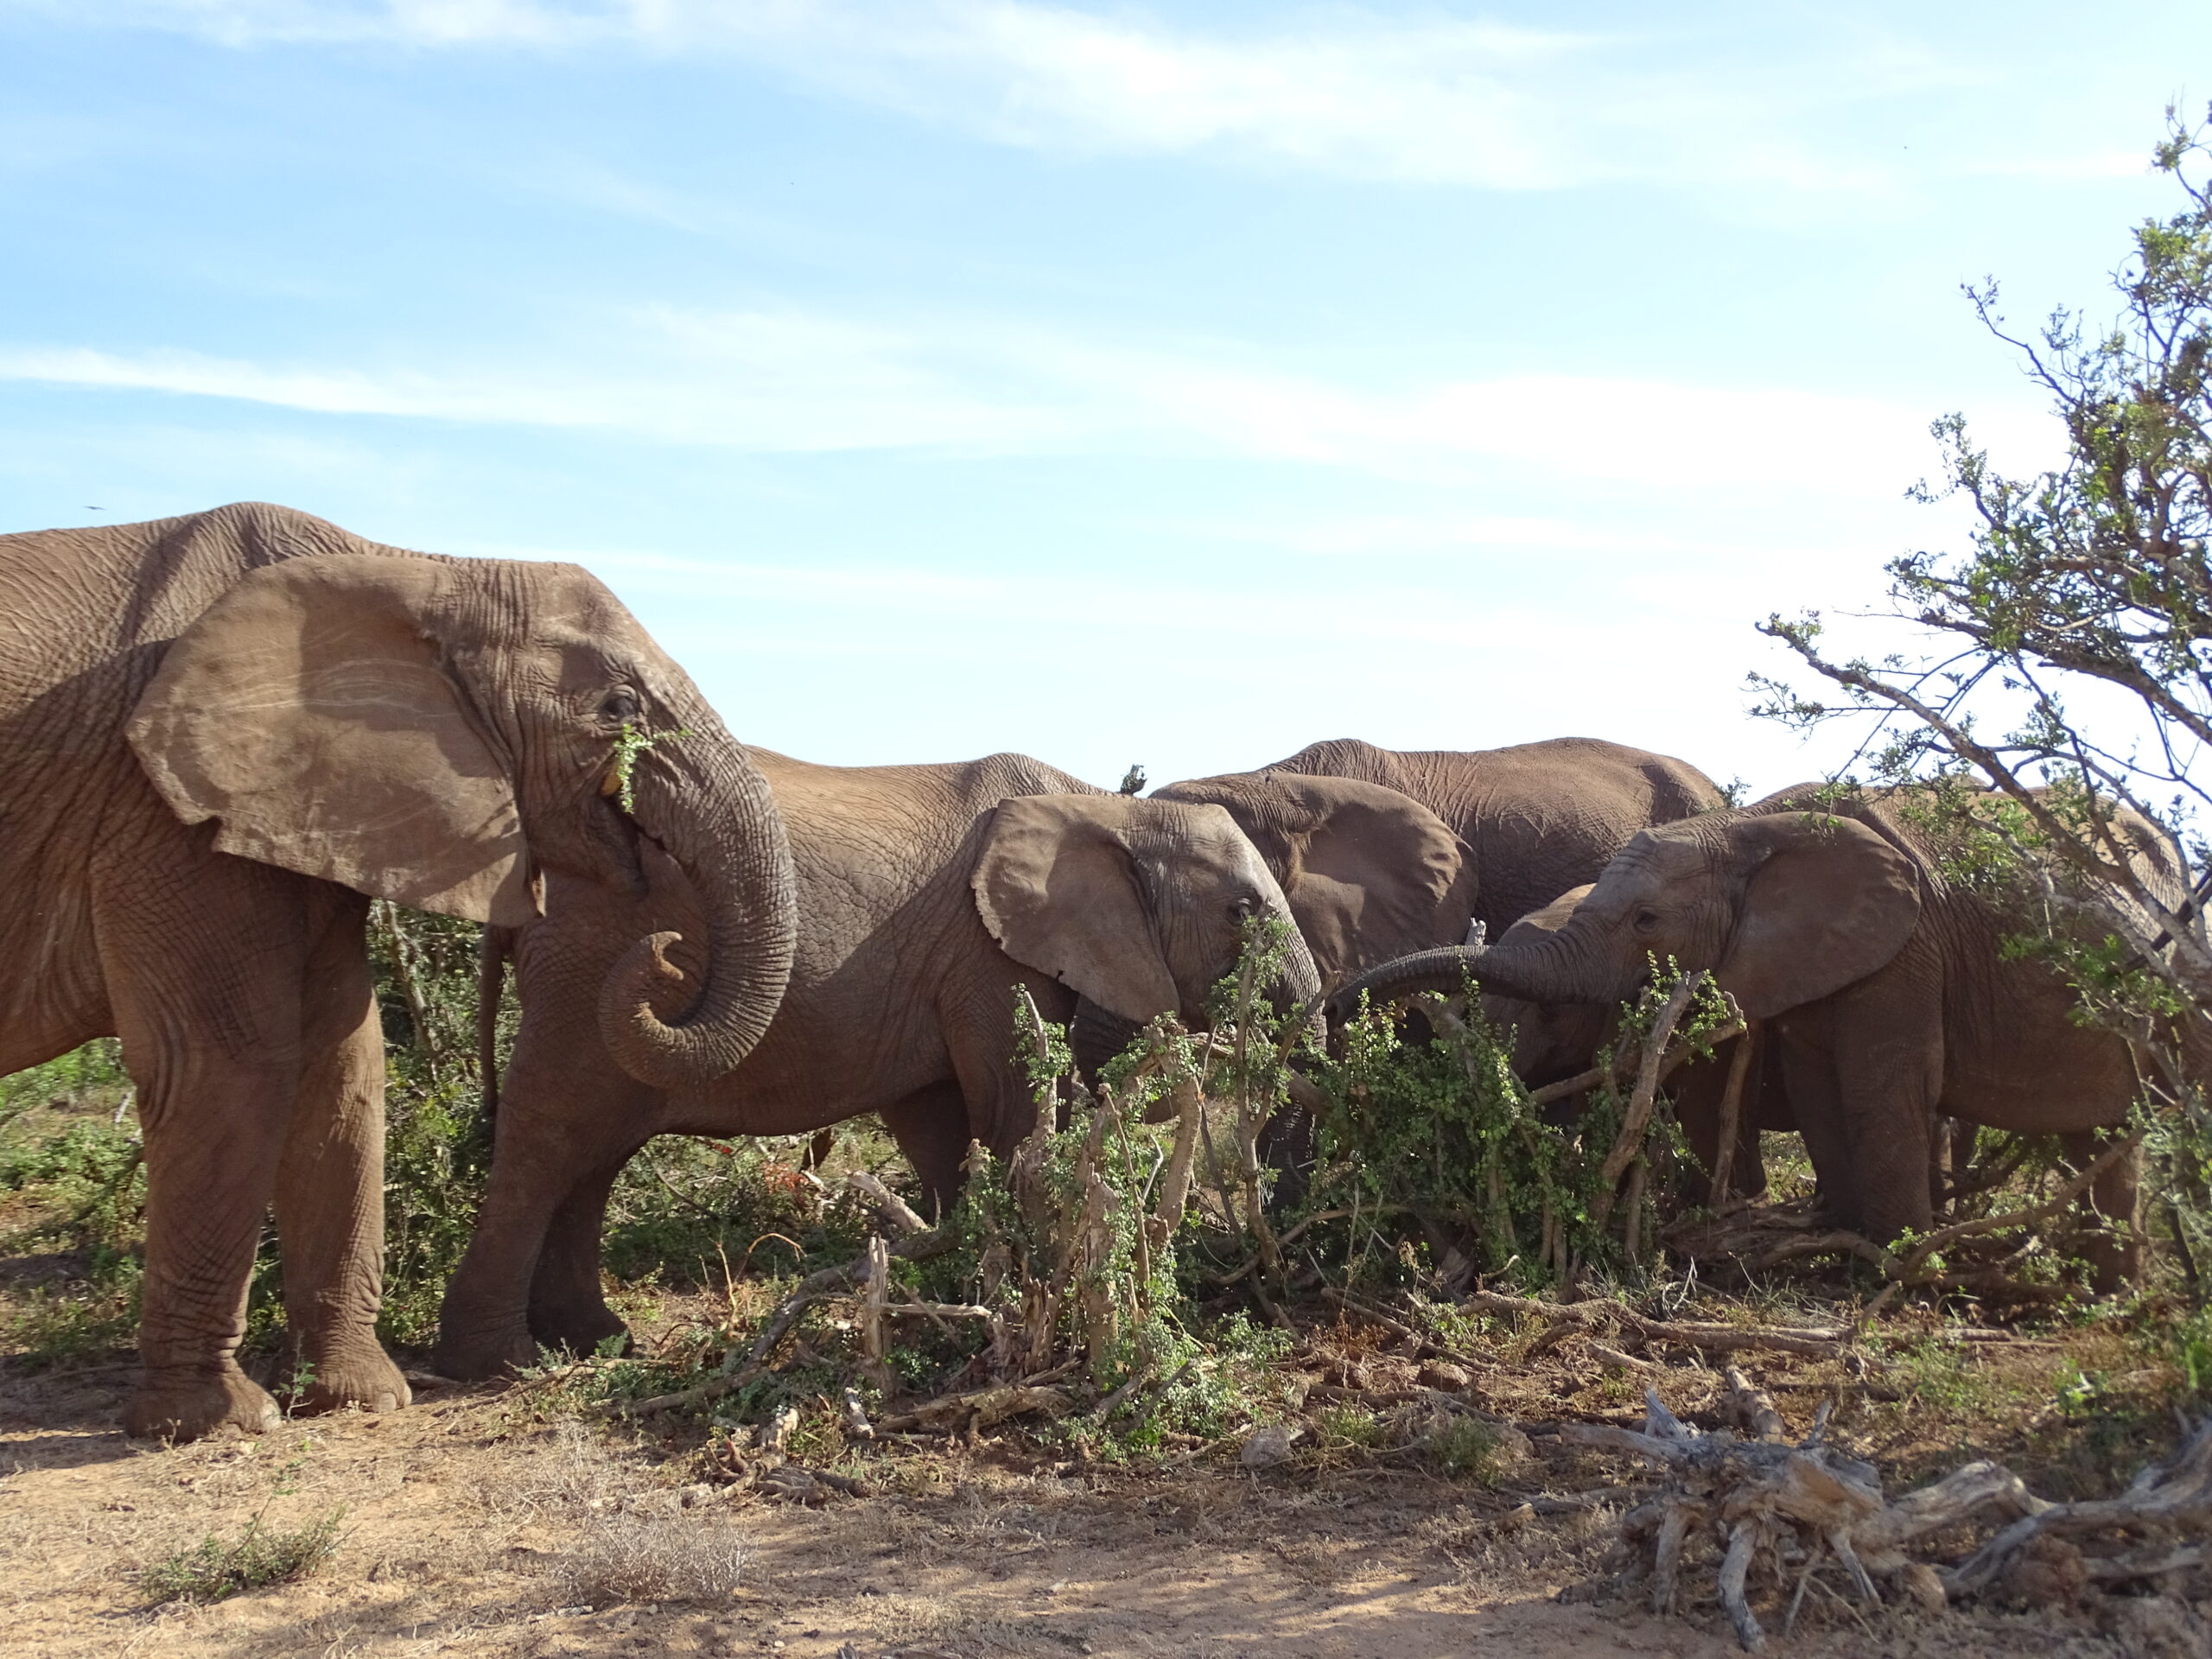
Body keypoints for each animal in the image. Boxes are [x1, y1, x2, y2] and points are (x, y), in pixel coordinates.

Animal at [0, 503, 797, 1440]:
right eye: (620, 706)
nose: (667, 947)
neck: (420, 568)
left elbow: (344, 1063)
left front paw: (361, 1398)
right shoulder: (160, 806)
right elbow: (226, 1065)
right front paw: (224, 1422)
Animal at [433, 750, 1319, 1379]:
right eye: (1243, 911)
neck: (1112, 809)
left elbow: (941, 1129)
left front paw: (956, 1289)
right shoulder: (986, 956)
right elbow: (1014, 1117)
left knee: (592, 1160)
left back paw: (594, 1342)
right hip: (583, 971)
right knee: (549, 1140)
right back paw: (500, 1365)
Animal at [1338, 784, 2198, 1281]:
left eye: (1646, 921)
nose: (1334, 1011)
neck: (1747, 828)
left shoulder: (1907, 943)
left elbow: (1881, 1088)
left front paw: (1896, 1272)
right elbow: (1819, 1088)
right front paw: (1843, 1243)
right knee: (2100, 1135)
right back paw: (2105, 1282)